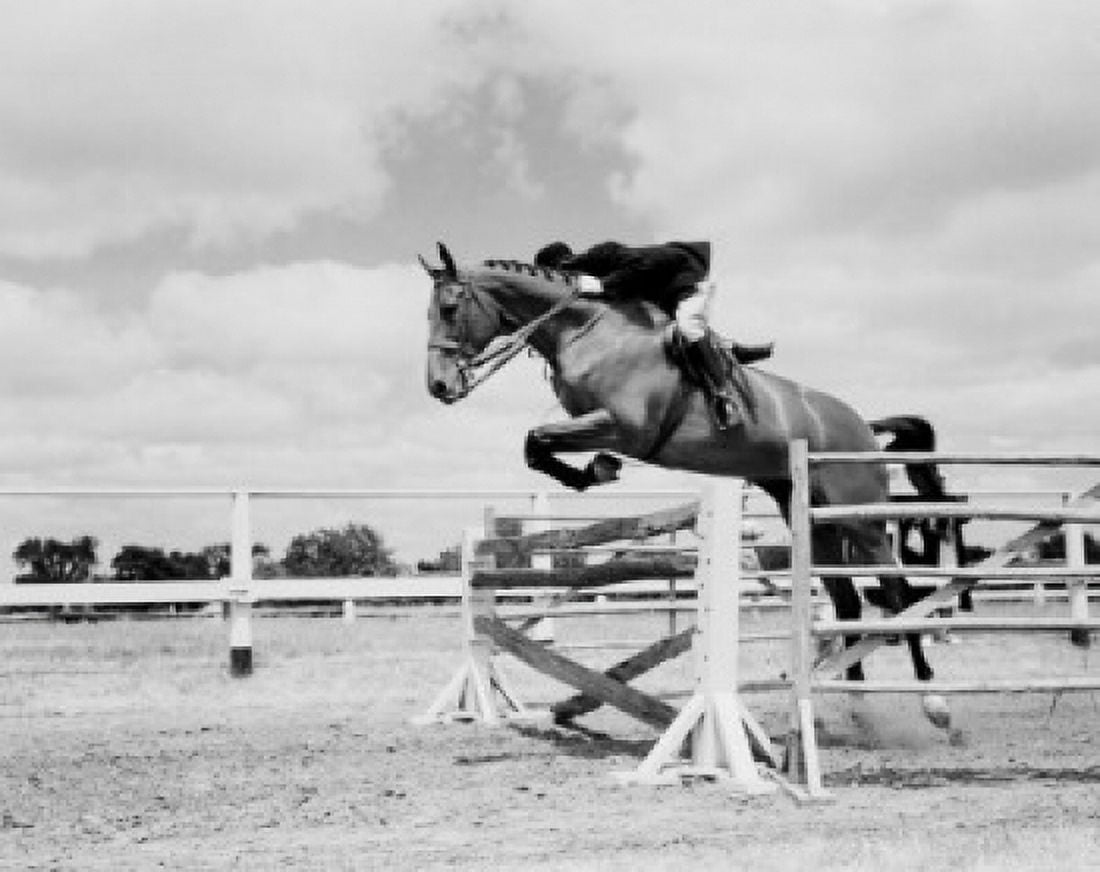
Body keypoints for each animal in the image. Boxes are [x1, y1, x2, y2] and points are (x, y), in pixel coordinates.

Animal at [422, 242, 953, 728]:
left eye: (449, 308)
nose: (439, 388)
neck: (585, 331)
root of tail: (863, 423)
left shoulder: (627, 427)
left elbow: (539, 438)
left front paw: (596, 469)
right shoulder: (590, 422)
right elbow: (536, 445)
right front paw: (595, 470)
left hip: (861, 517)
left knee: (899, 592)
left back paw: (934, 702)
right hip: (809, 515)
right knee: (846, 602)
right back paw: (856, 705)